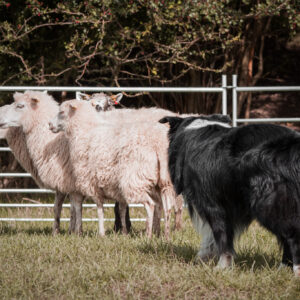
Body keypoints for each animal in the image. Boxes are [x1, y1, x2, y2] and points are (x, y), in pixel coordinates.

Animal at [161, 115, 300, 276]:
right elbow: (211, 237)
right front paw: (204, 257)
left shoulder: (212, 202)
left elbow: (220, 234)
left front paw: (222, 266)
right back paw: (281, 269)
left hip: (269, 203)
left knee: (292, 234)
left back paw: (296, 271)